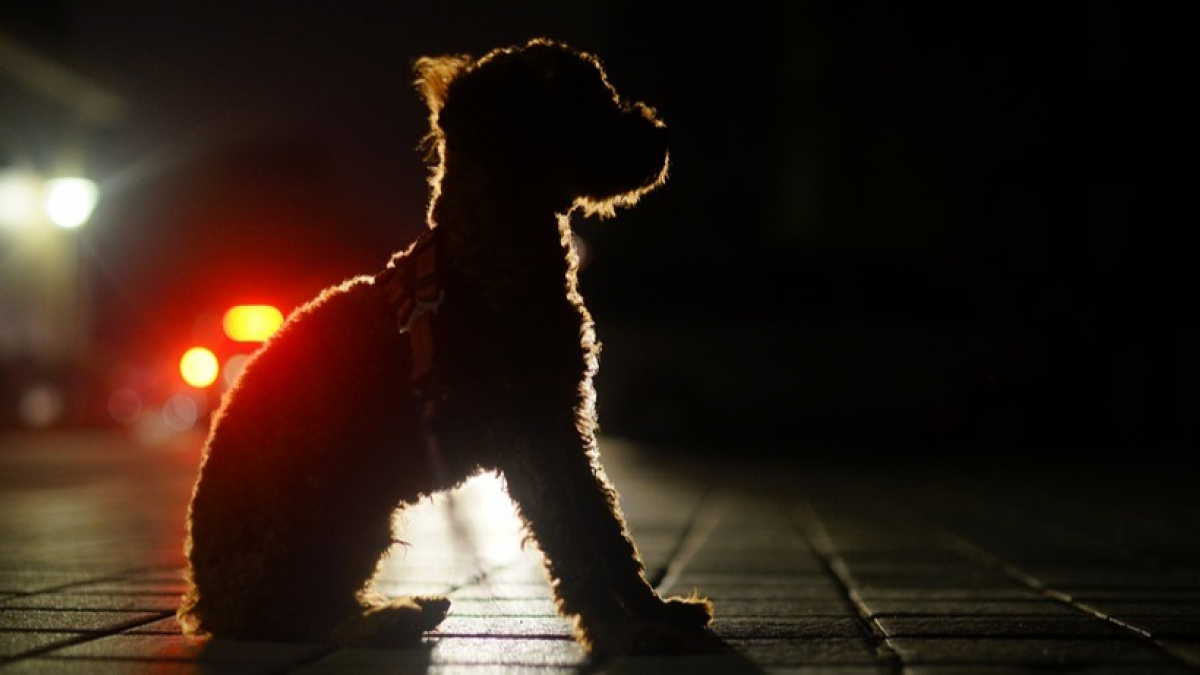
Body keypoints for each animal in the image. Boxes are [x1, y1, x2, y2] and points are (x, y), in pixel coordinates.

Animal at [177, 39, 710, 653]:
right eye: (581, 102)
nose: (661, 135)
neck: (489, 251)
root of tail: (206, 602)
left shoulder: (562, 426)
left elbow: (604, 527)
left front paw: (656, 610)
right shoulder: (530, 433)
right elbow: (570, 535)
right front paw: (619, 630)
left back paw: (405, 608)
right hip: (333, 503)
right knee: (295, 616)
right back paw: (385, 620)